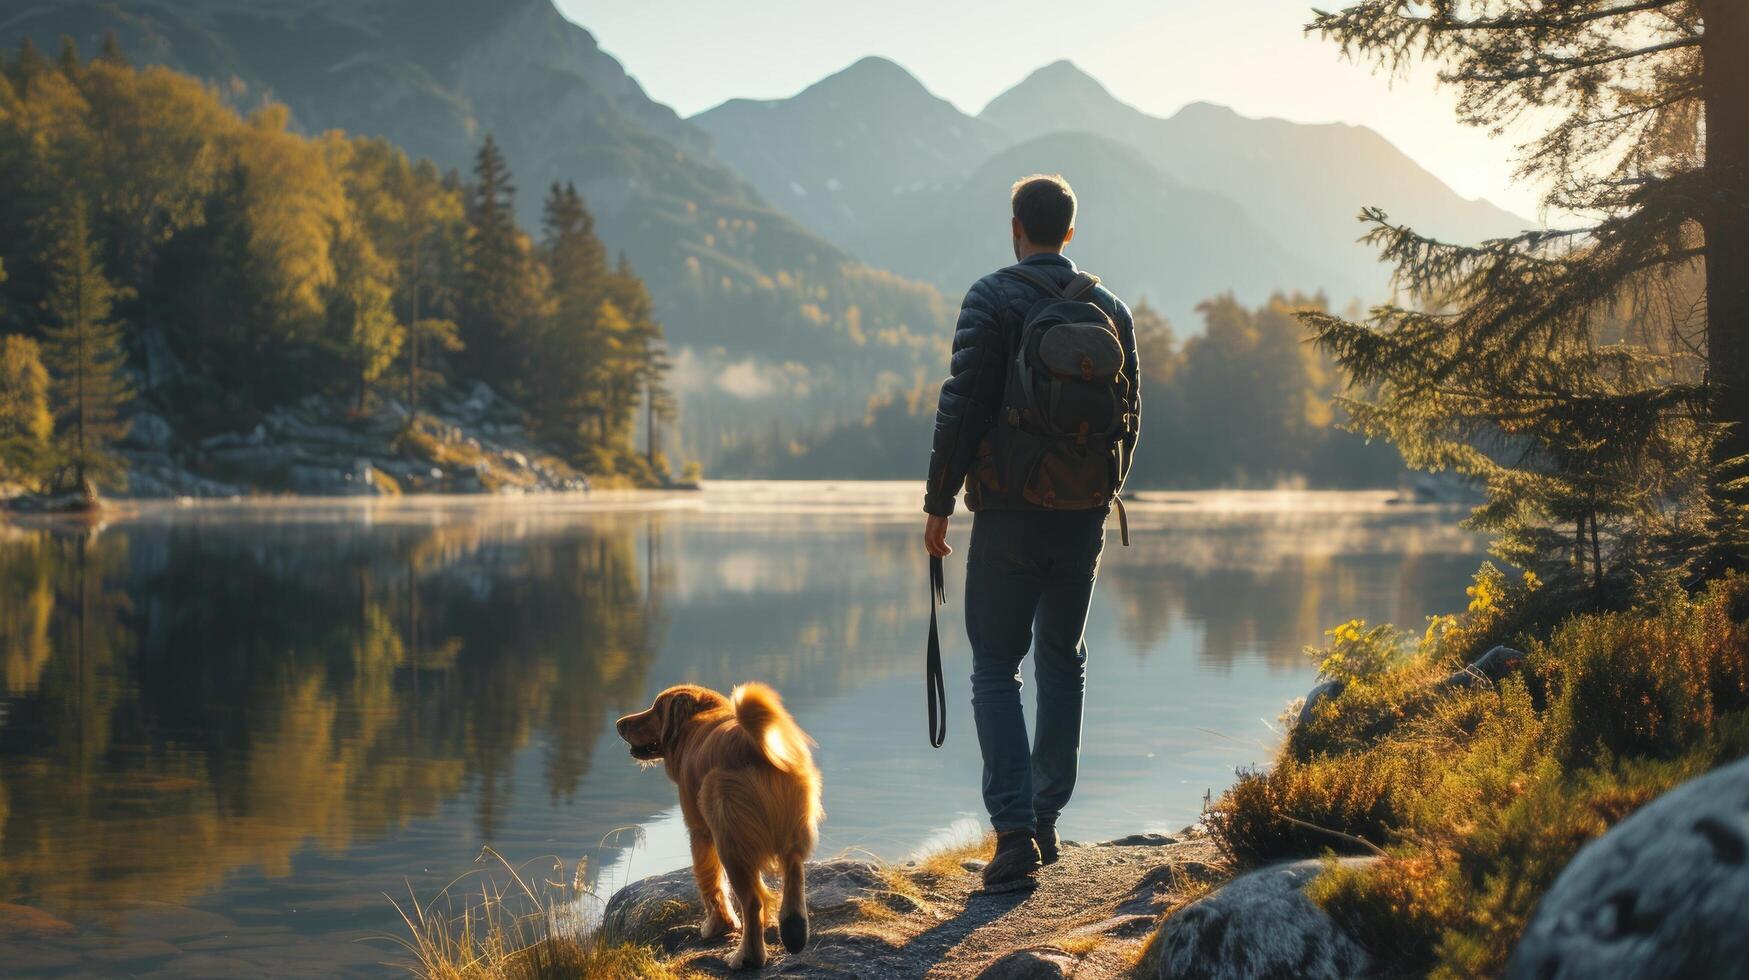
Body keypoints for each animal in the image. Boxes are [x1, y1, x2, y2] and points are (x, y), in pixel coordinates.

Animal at [619, 686, 822, 966]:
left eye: (657, 709)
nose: (619, 724)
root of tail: (753, 744)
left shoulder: (699, 832)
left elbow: (710, 883)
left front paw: (718, 925)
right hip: (789, 835)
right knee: (793, 874)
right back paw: (794, 932)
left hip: (729, 842)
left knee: (752, 902)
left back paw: (747, 957)